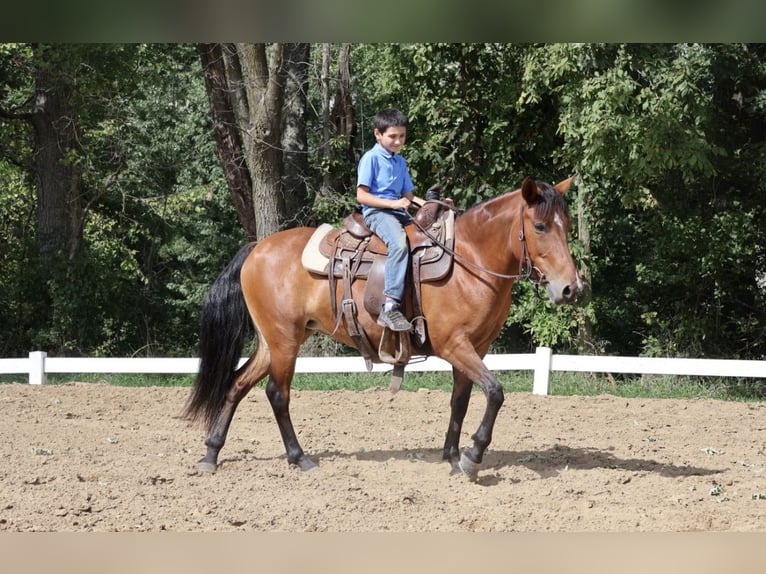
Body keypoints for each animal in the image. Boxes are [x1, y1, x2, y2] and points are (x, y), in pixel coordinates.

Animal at [184, 176, 582, 481]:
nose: (570, 288)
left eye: (568, 227)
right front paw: (472, 457)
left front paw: (453, 456)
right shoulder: (455, 345)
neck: (470, 261)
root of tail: (257, 249)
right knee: (277, 395)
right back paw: (300, 458)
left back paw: (210, 454)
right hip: (284, 341)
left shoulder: (475, 348)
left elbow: (462, 400)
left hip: (273, 341)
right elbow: (495, 393)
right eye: (540, 226)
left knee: (237, 385)